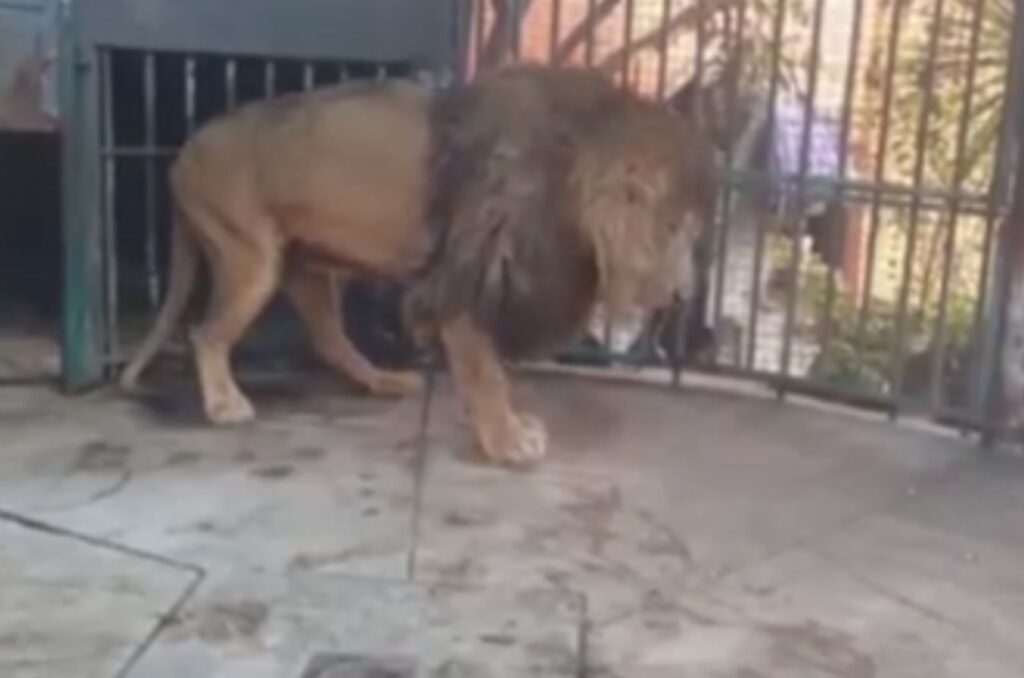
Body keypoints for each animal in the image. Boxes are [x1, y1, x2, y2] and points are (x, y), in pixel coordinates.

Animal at [119, 65, 716, 467]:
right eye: (671, 230)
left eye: (693, 232)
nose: (684, 296)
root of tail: (182, 152)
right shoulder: (464, 278)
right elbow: (485, 370)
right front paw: (507, 440)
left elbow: (485, 368)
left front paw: (498, 424)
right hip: (250, 256)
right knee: (206, 334)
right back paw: (224, 404)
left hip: (308, 269)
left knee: (329, 340)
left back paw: (383, 380)